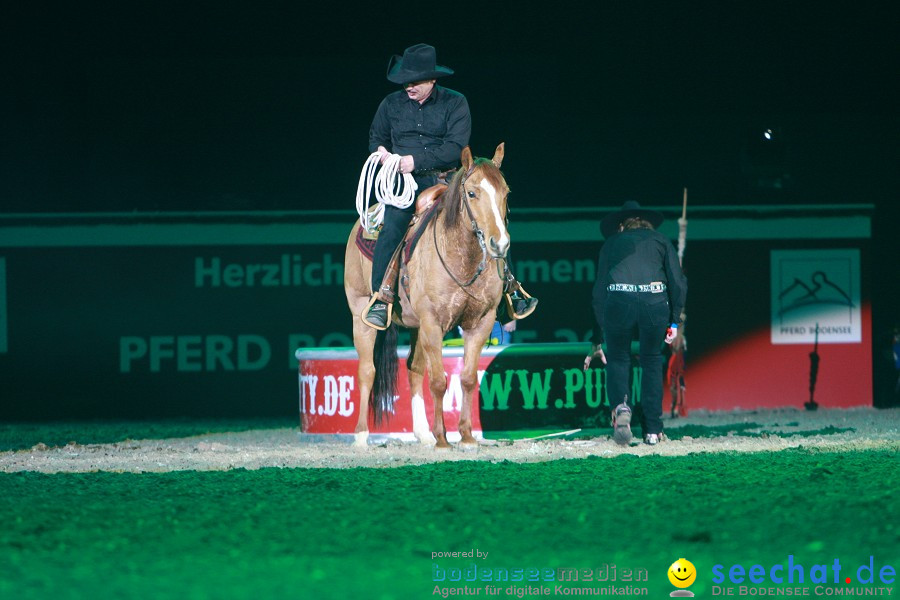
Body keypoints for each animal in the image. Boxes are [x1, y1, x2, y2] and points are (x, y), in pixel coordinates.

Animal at [344, 143, 510, 448]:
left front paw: (466, 436)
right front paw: (443, 439)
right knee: (367, 370)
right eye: (472, 193)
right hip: (361, 314)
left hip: (417, 326)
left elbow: (467, 378)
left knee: (414, 369)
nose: (500, 243)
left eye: (505, 193)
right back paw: (361, 436)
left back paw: (421, 432)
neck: (461, 256)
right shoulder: (433, 323)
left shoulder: (479, 323)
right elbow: (439, 382)